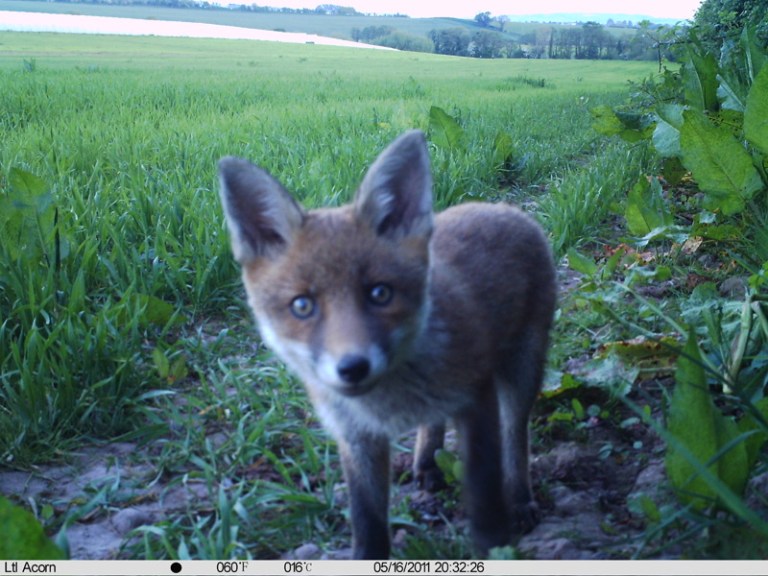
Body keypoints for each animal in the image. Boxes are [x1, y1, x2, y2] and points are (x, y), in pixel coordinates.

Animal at [217, 130, 556, 559]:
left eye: (380, 293)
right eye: (302, 306)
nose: (352, 367)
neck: (391, 403)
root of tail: (505, 208)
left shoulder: (476, 402)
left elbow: (484, 494)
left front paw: (495, 546)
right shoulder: (356, 437)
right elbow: (368, 521)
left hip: (522, 371)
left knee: (516, 437)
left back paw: (520, 499)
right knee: (434, 424)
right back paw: (426, 463)